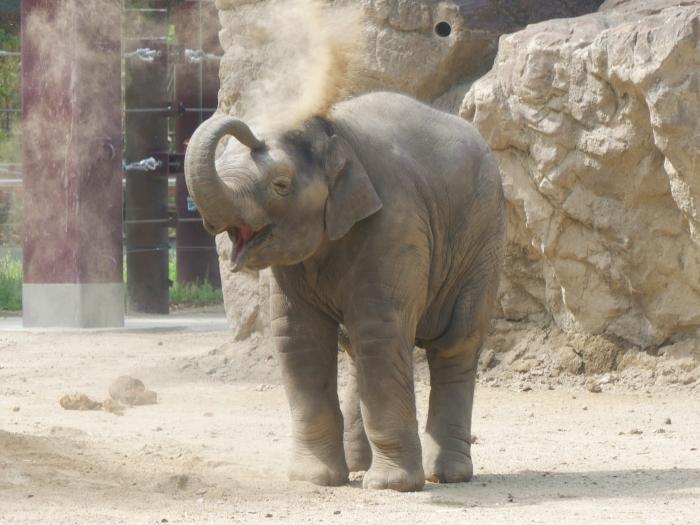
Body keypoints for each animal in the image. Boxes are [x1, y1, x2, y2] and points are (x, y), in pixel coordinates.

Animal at [183, 91, 506, 492]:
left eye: (280, 184)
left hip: (483, 241)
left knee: (455, 343)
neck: (333, 133)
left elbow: (380, 335)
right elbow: (299, 338)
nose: (244, 125)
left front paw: (390, 486)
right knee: (356, 350)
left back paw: (447, 475)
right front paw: (315, 479)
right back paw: (357, 466)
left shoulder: (396, 222)